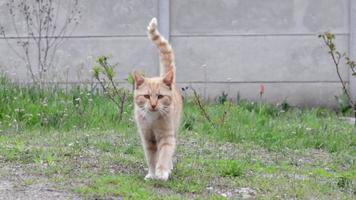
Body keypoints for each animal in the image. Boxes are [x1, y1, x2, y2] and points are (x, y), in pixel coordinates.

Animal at [134, 18, 184, 181]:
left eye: (160, 97)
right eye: (146, 96)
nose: (154, 105)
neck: (152, 119)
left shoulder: (166, 137)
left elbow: (164, 155)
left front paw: (161, 172)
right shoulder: (147, 139)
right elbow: (151, 158)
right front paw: (151, 173)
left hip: (175, 128)